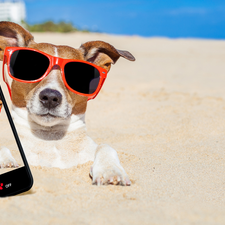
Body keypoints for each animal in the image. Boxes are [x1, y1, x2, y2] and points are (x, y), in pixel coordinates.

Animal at [0, 22, 135, 185]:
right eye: (30, 65)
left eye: (78, 74)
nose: (50, 97)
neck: (52, 139)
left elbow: (105, 147)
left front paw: (110, 169)